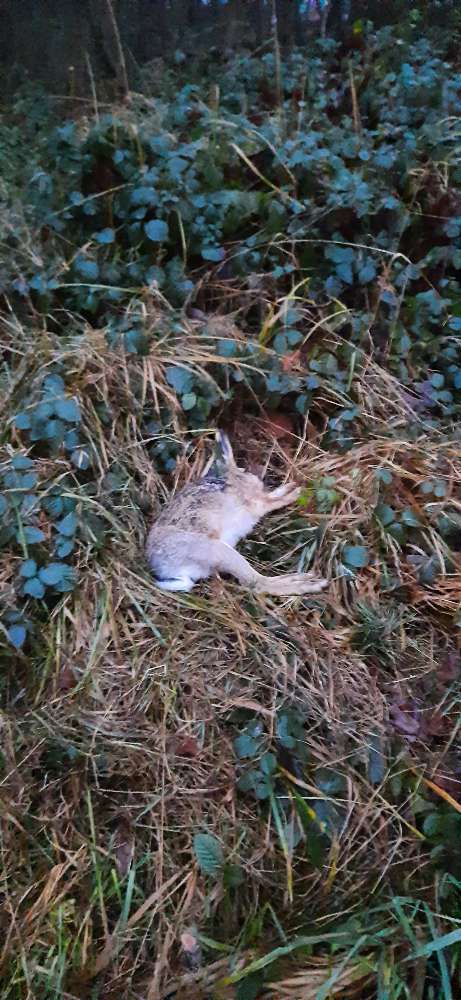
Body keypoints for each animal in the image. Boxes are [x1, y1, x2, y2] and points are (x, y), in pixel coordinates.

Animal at [146, 430, 328, 596]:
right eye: (244, 469)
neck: (232, 475)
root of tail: (168, 570)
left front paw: (289, 487)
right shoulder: (255, 503)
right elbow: (272, 501)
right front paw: (296, 493)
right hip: (218, 551)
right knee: (256, 583)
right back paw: (307, 582)